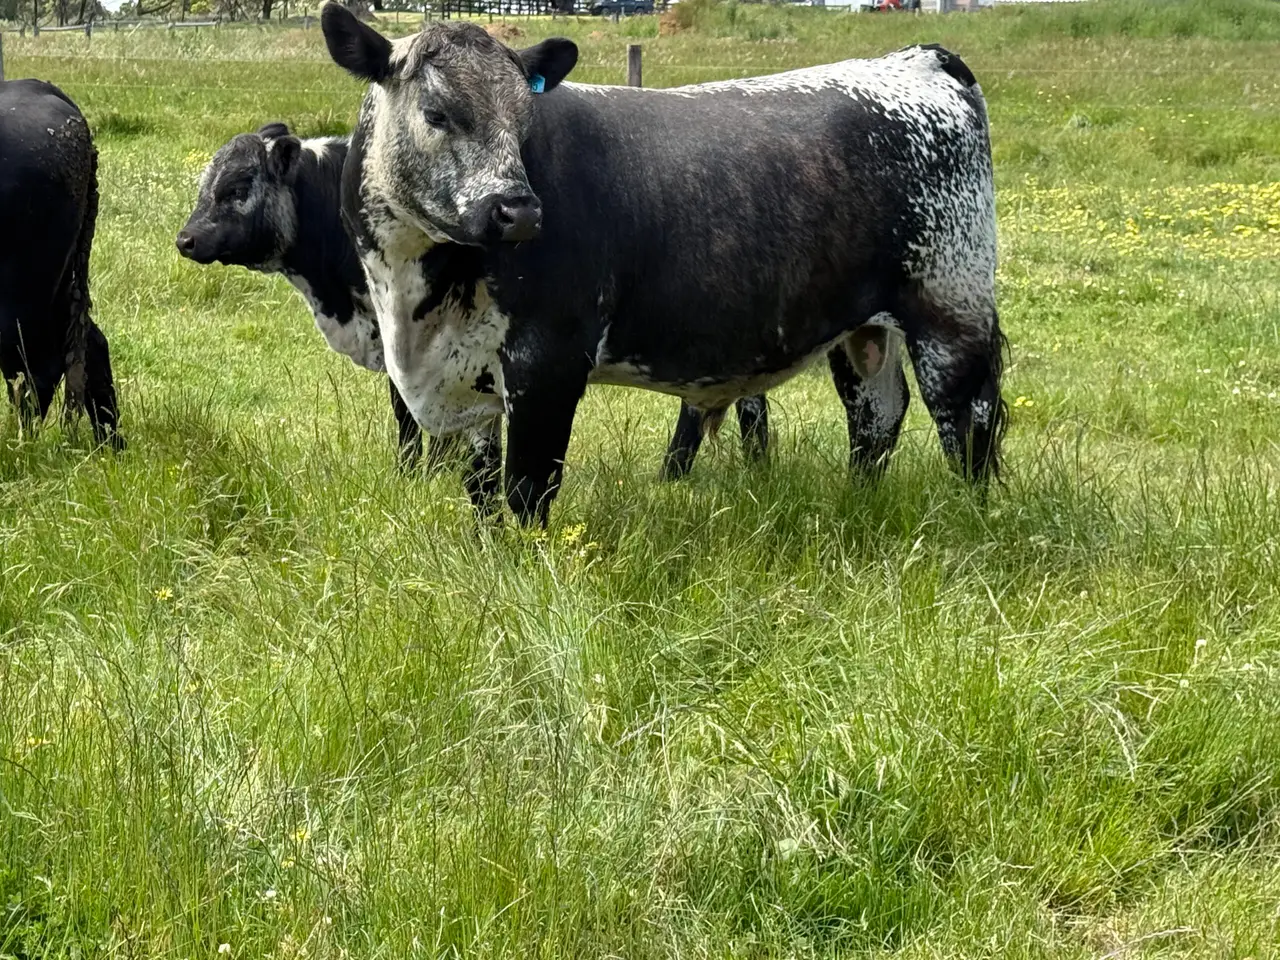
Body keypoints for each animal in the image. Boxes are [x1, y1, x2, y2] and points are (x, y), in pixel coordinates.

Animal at [322, 6, 1005, 525]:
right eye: (436, 113)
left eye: (523, 122)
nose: (518, 210)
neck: (413, 303)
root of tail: (915, 58)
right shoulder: (469, 376)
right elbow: (483, 488)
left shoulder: (549, 361)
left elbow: (527, 488)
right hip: (864, 327)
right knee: (875, 416)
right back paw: (856, 505)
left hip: (951, 310)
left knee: (969, 422)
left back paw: (975, 521)